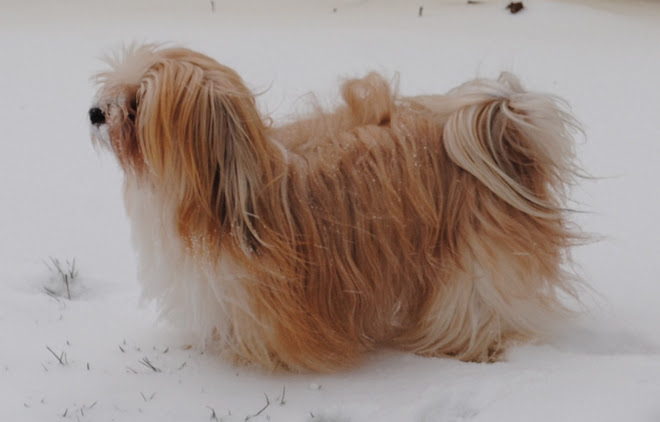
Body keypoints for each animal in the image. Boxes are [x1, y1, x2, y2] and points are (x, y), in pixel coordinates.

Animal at [89, 44, 584, 370]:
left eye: (135, 104)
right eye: (115, 90)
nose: (95, 112)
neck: (226, 197)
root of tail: (501, 125)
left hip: (475, 250)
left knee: (476, 300)